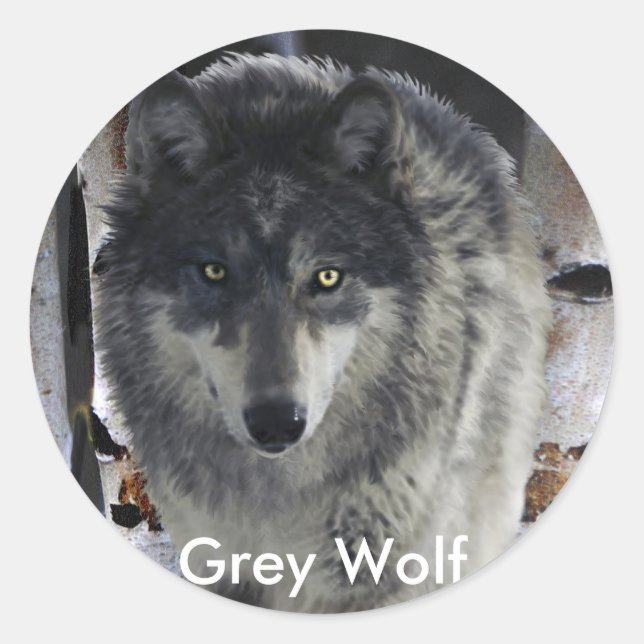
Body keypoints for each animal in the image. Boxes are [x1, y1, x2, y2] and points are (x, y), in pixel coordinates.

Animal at [93, 53, 551, 612]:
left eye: (327, 277)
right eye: (214, 271)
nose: (276, 423)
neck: (277, 494)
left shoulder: (377, 572)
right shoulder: (222, 563)